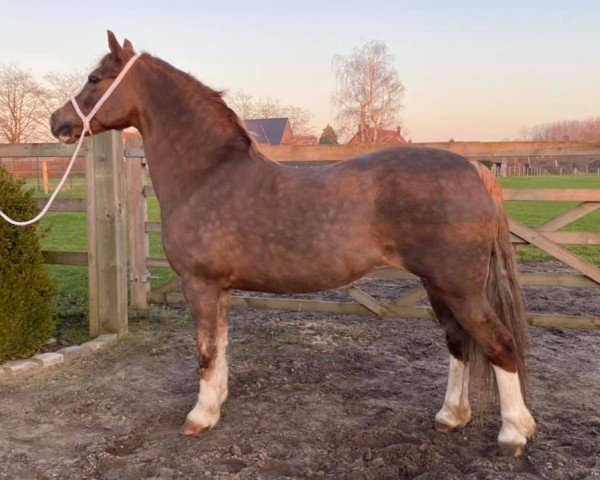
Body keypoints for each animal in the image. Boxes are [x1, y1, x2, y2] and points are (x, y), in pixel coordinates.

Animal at [51, 31, 536, 456]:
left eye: (95, 77)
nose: (58, 121)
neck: (207, 174)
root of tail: (475, 169)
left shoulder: (199, 284)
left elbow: (205, 350)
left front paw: (200, 417)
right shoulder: (220, 288)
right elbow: (220, 346)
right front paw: (217, 403)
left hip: (460, 286)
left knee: (499, 343)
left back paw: (513, 433)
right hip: (439, 286)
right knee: (459, 342)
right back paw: (451, 416)